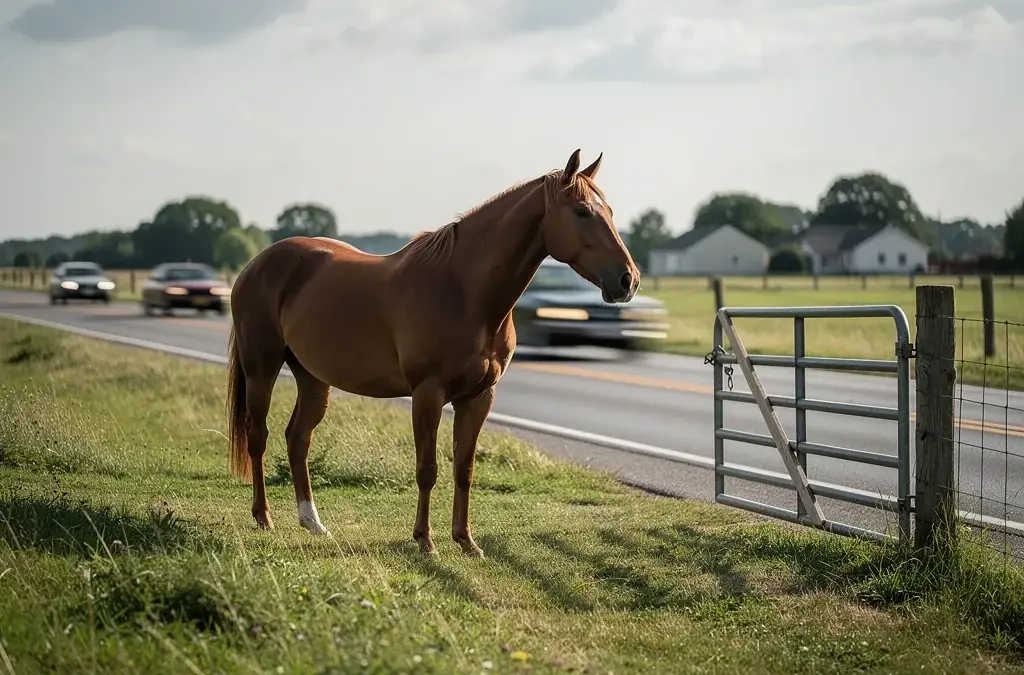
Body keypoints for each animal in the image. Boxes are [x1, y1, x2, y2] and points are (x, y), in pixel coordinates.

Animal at [224, 149, 640, 557]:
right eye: (582, 211)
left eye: (610, 211)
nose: (628, 280)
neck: (463, 291)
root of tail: (256, 264)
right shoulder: (427, 393)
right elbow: (427, 468)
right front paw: (425, 540)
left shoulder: (478, 398)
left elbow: (464, 469)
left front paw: (466, 541)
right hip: (262, 368)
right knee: (258, 435)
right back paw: (263, 517)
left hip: (313, 378)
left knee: (298, 438)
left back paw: (312, 522)